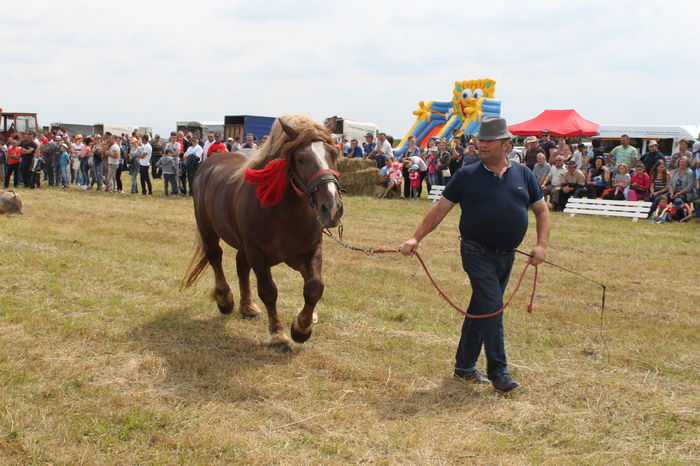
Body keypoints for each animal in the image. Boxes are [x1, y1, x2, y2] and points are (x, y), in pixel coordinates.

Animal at [181, 114, 343, 352]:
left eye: (334, 154)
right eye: (301, 159)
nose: (331, 208)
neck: (285, 213)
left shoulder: (311, 251)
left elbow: (314, 287)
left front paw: (302, 327)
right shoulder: (258, 254)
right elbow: (269, 292)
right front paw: (278, 335)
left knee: (241, 266)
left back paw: (248, 307)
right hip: (208, 229)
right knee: (215, 257)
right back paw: (225, 300)